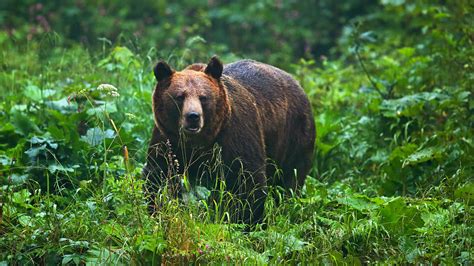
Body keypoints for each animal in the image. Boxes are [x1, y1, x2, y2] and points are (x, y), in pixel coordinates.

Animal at [143, 56, 316, 224]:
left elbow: (248, 181)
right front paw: (155, 211)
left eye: (203, 97)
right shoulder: (168, 139)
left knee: (290, 179)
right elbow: (157, 175)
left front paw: (246, 221)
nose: (193, 117)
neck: (200, 141)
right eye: (179, 96)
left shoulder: (235, 135)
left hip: (295, 137)